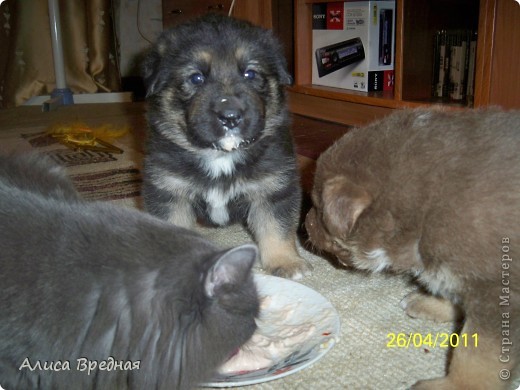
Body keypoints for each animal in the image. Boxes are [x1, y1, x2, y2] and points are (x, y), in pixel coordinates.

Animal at [141, 14, 308, 278]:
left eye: (250, 73)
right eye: (196, 78)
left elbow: (277, 228)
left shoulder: (273, 187)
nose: (230, 117)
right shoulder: (169, 191)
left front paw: (286, 262)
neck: (220, 156)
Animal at [306, 107, 516, 390]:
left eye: (317, 207)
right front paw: (430, 304)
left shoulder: (497, 295)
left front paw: (453, 385)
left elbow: (475, 355)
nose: (304, 222)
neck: (427, 210)